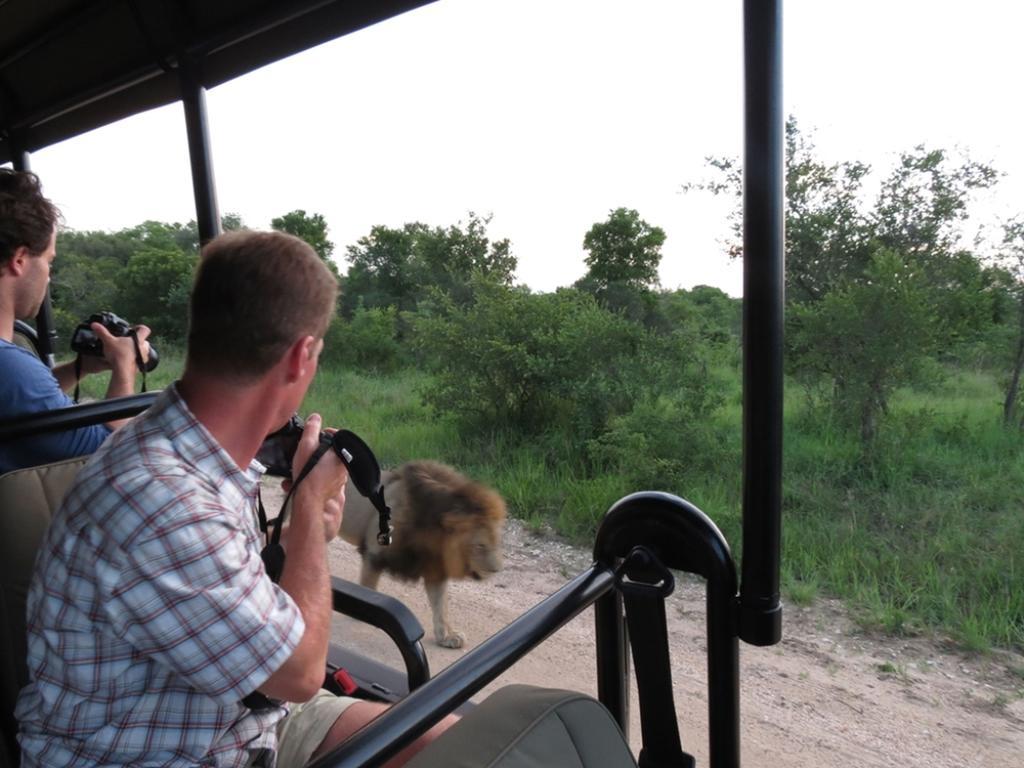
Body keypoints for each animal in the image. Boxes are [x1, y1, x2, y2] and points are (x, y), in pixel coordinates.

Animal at [339, 462, 507, 651]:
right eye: (480, 546)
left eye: (497, 542)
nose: (497, 569)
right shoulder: (373, 554)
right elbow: (368, 588)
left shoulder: (435, 567)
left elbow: (440, 607)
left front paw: (447, 637)